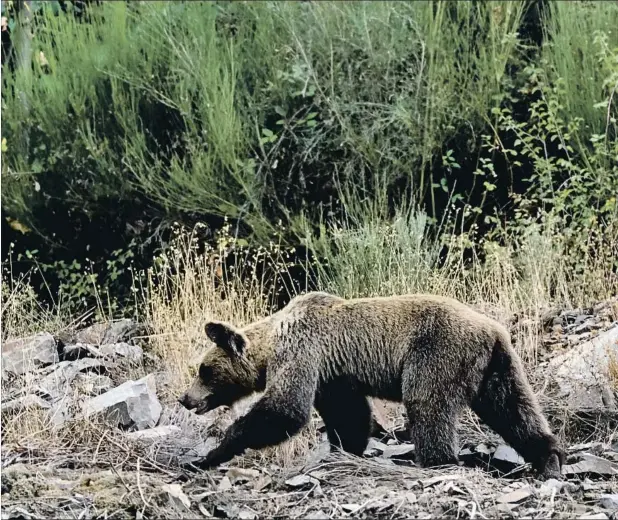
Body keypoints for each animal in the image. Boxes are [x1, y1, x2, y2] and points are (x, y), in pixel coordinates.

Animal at [177, 290, 564, 478]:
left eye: (204, 370)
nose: (185, 399)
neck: (270, 343)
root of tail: (494, 329)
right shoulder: (333, 375)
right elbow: (348, 414)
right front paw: (346, 448)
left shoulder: (302, 350)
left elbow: (285, 409)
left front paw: (209, 455)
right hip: (496, 367)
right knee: (514, 409)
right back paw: (549, 458)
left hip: (436, 352)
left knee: (427, 405)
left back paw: (435, 460)